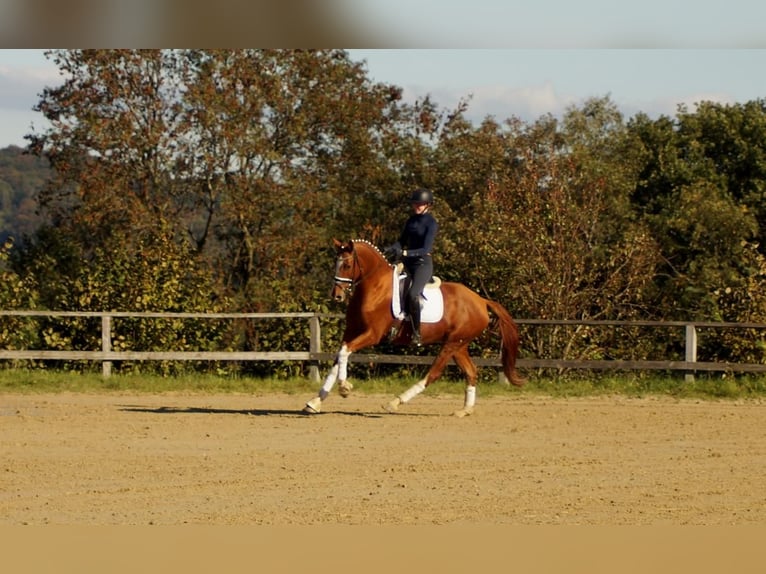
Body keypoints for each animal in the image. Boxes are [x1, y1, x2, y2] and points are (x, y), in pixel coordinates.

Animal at [304, 240, 524, 418]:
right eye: (336, 263)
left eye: (347, 265)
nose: (337, 295)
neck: (375, 287)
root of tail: (481, 300)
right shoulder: (351, 331)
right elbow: (340, 356)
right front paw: (315, 402)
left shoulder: (372, 335)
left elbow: (345, 352)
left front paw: (344, 387)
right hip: (459, 345)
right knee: (471, 372)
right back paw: (464, 410)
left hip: (452, 344)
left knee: (434, 373)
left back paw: (395, 402)